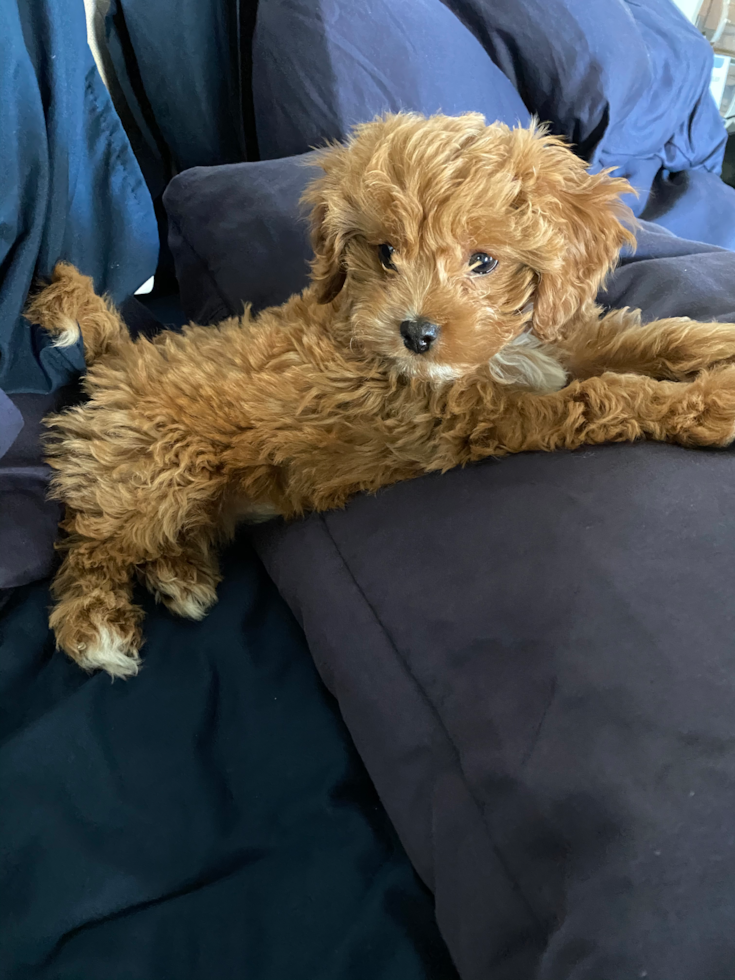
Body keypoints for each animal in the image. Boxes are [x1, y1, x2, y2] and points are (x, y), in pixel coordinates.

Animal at [28, 111, 735, 676]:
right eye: (387, 252)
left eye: (484, 261)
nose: (416, 333)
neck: (493, 355)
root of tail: (120, 352)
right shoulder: (483, 415)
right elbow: (604, 397)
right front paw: (709, 403)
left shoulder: (555, 344)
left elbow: (638, 340)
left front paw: (714, 346)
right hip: (158, 469)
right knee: (89, 544)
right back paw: (97, 625)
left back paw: (182, 577)